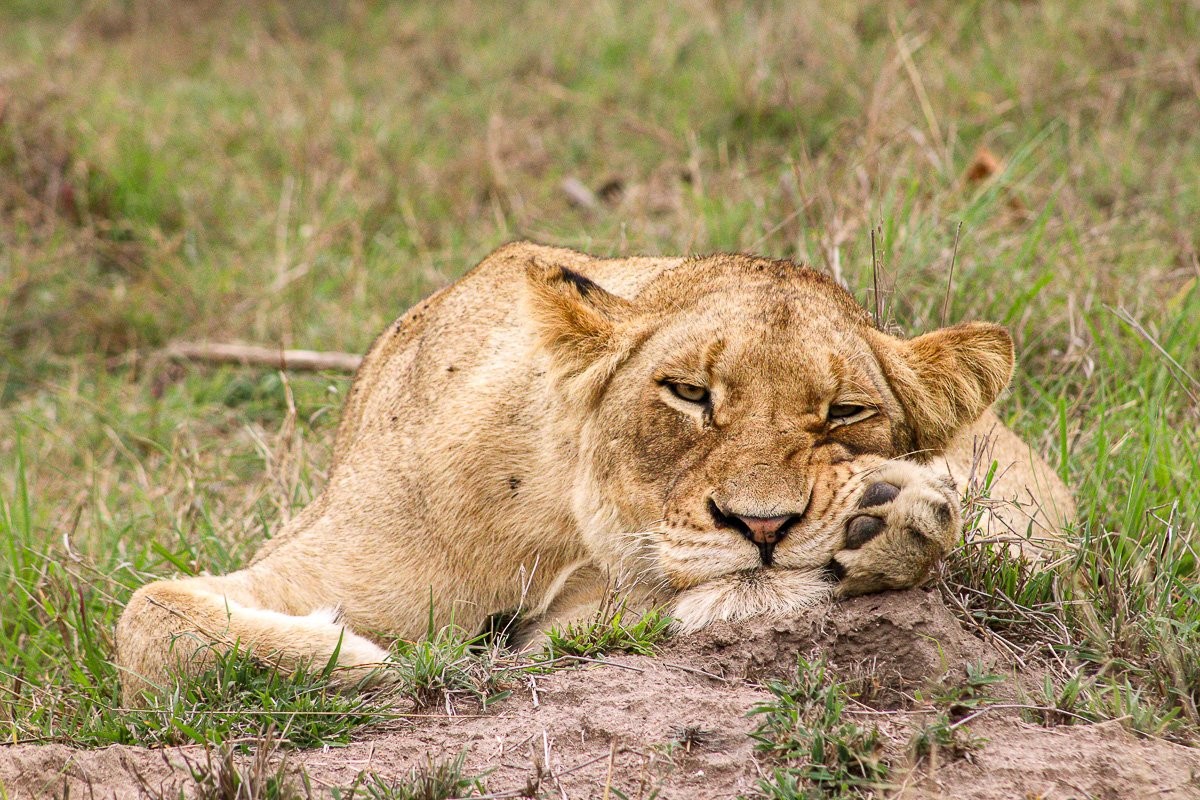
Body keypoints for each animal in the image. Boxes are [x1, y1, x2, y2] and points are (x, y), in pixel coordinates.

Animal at [116, 242, 1073, 703]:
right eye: (688, 393)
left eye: (844, 412)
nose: (763, 526)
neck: (558, 533)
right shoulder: (320, 559)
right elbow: (148, 618)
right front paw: (356, 661)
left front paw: (893, 513)